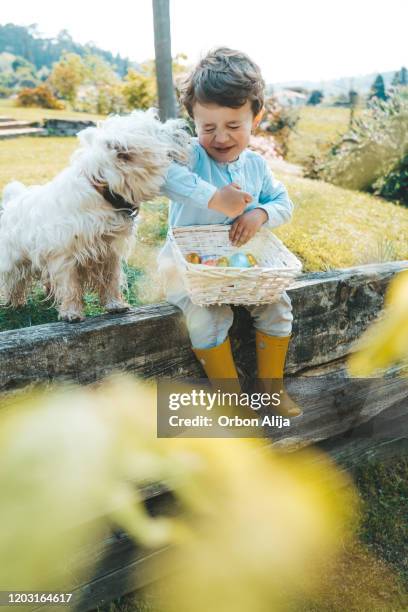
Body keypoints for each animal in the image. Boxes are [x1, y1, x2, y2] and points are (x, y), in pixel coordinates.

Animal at [0, 109, 189, 320]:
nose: (185, 126)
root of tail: (13, 200)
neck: (104, 191)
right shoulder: (64, 253)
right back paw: (15, 302)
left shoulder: (109, 250)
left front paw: (115, 304)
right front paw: (71, 312)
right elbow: (70, 285)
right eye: (157, 130)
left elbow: (111, 279)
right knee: (14, 280)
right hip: (13, 259)